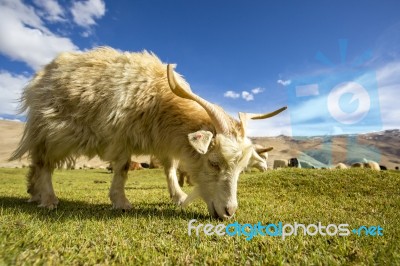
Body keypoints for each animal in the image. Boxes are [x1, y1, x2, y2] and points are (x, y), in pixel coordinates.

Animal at [8, 46, 284, 219]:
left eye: (241, 168)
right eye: (214, 162)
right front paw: (121, 202)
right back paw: (48, 199)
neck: (157, 97)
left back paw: (33, 193)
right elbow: (122, 168)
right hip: (52, 129)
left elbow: (170, 169)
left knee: (36, 163)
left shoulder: (164, 142)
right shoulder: (120, 136)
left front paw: (179, 196)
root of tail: (43, 73)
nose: (229, 212)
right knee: (43, 163)